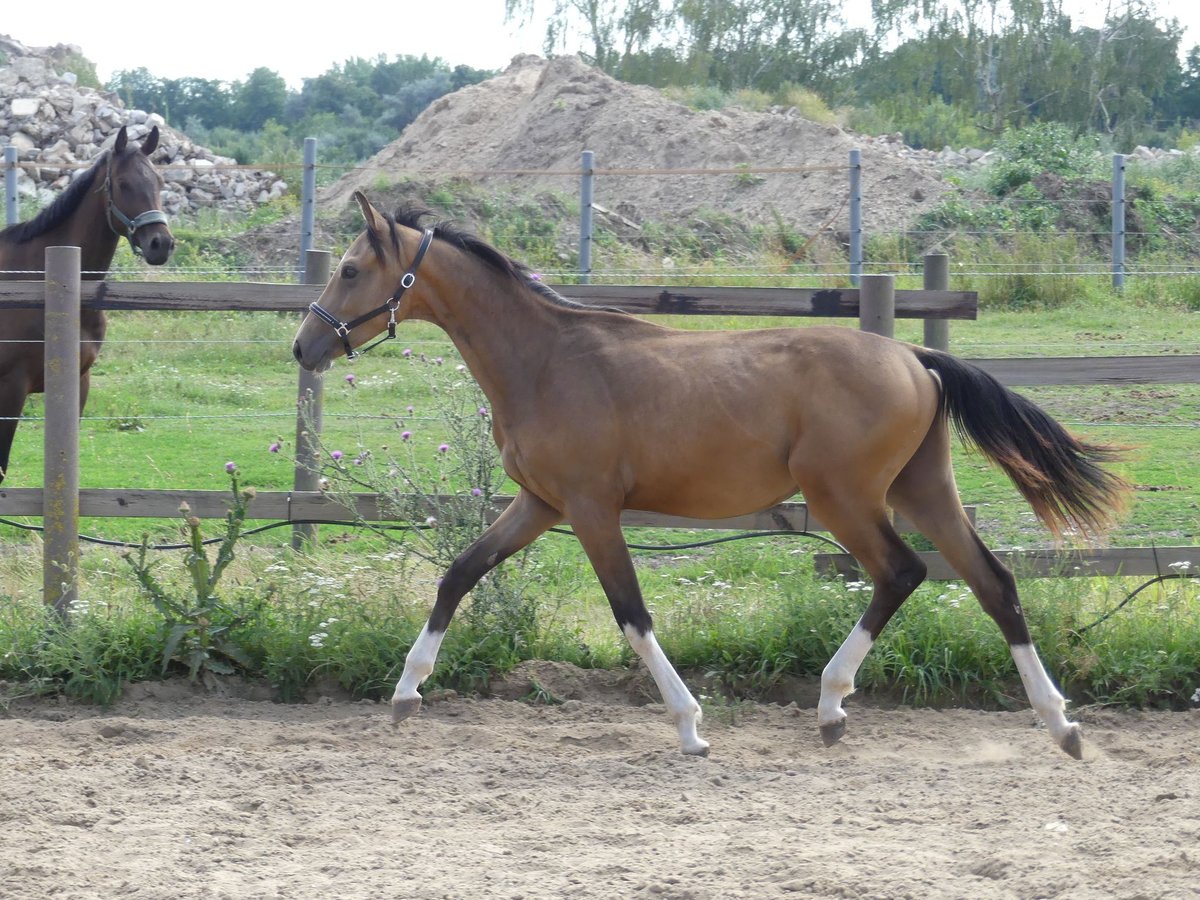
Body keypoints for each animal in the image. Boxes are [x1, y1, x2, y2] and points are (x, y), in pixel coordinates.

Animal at [288, 195, 1123, 763]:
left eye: (352, 269)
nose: (303, 346)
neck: (547, 360)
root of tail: (915, 358)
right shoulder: (539, 504)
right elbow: (460, 572)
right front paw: (405, 694)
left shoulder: (591, 508)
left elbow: (631, 613)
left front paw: (690, 727)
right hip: (922, 490)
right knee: (993, 582)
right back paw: (1060, 724)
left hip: (846, 498)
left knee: (902, 573)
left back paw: (832, 705)